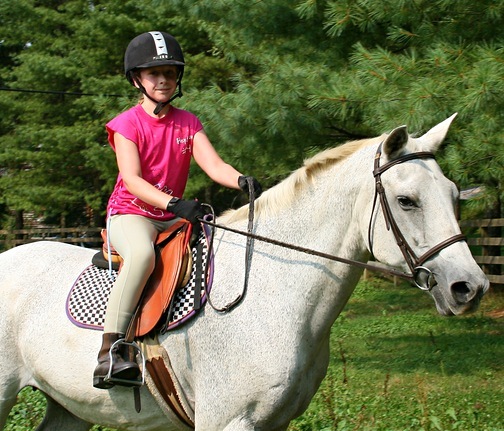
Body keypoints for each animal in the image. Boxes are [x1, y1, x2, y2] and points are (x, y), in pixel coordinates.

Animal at [0, 115, 488, 431]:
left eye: (453, 195)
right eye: (407, 201)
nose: (470, 287)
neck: (272, 292)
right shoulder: (229, 421)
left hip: (70, 406)